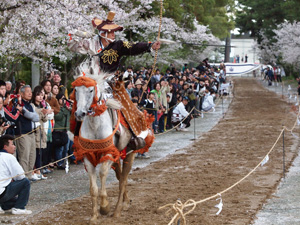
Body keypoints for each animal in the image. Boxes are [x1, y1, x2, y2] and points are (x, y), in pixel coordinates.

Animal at [72, 76, 136, 223]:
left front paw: (105, 207)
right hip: (117, 159)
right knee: (120, 176)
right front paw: (94, 216)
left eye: (91, 90)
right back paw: (125, 201)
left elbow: (102, 173)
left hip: (129, 155)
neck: (95, 126)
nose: (79, 113)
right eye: (76, 90)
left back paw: (118, 209)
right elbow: (93, 188)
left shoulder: (107, 154)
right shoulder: (88, 157)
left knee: (123, 180)